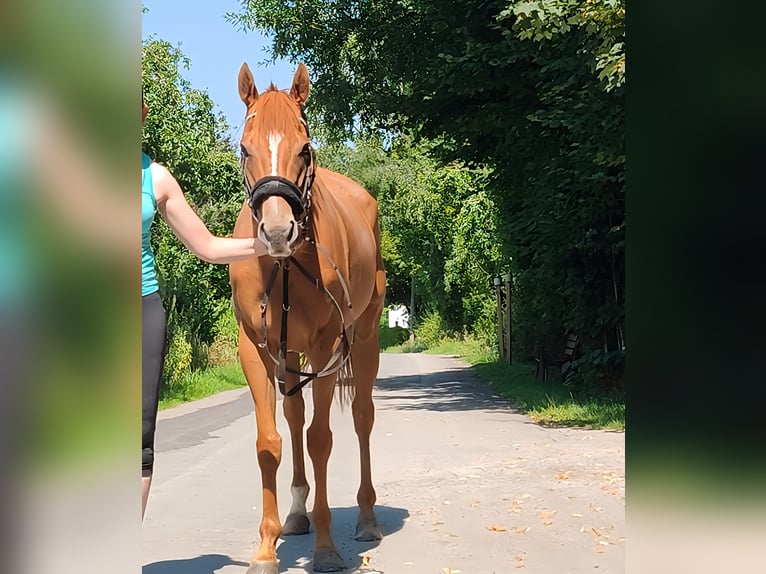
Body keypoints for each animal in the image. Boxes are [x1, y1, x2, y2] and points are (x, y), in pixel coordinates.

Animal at [226, 60, 384, 572]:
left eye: (304, 147)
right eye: (244, 148)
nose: (278, 232)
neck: (284, 266)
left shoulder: (326, 347)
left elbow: (321, 439)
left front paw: (326, 548)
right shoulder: (257, 349)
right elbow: (270, 441)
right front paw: (266, 546)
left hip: (365, 339)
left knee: (361, 417)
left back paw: (367, 518)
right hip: (289, 355)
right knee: (293, 417)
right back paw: (297, 513)